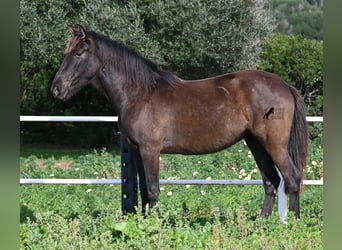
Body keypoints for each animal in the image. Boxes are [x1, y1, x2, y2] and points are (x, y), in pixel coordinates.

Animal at [51, 25, 310, 219]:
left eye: (77, 54)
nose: (56, 89)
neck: (140, 94)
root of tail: (284, 85)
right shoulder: (136, 151)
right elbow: (143, 191)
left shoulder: (150, 150)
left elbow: (153, 190)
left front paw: (156, 227)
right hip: (255, 143)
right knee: (271, 182)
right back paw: (262, 224)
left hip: (274, 144)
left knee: (292, 178)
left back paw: (292, 224)